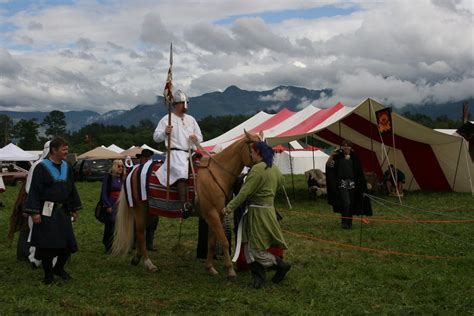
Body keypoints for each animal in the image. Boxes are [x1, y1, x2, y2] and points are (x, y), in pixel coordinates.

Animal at [112, 129, 262, 278]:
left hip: (150, 212)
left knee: (141, 232)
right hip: (140, 209)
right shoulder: (212, 214)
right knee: (140, 233)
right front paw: (230, 270)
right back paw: (149, 264)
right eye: (256, 147)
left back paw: (137, 258)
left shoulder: (217, 214)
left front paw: (210, 267)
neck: (217, 173)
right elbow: (224, 241)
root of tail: (134, 170)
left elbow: (212, 242)